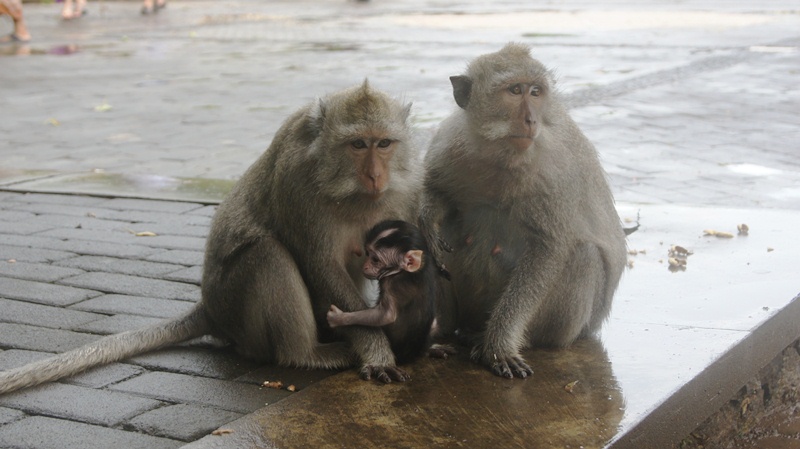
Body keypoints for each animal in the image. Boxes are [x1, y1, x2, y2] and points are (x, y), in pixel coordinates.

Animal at [0, 79, 422, 392]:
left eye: (384, 143)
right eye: (358, 144)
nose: (375, 175)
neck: (349, 190)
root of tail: (210, 309)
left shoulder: (406, 189)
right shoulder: (298, 183)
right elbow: (320, 265)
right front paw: (377, 352)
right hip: (236, 308)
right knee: (266, 254)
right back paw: (304, 353)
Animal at [324, 220, 444, 364]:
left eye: (375, 259)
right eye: (367, 253)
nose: (365, 266)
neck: (407, 272)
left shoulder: (393, 284)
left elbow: (386, 315)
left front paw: (339, 318)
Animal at [422, 43, 628, 378]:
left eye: (535, 92)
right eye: (515, 90)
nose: (531, 120)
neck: (500, 154)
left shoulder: (554, 173)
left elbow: (548, 250)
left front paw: (499, 345)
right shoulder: (449, 142)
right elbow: (437, 192)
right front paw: (428, 221)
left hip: (571, 329)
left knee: (584, 257)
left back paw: (491, 337)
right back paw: (443, 333)